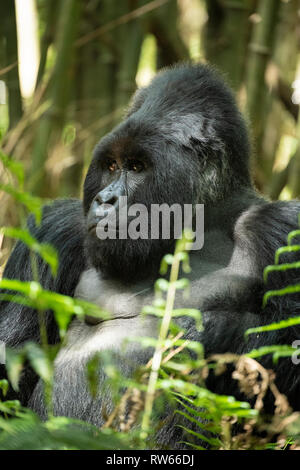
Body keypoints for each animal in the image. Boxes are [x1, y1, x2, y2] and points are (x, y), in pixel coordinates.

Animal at [0, 62, 300, 448]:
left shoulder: (280, 228)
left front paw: (211, 332)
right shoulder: (53, 231)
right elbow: (11, 356)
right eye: (112, 166)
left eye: (137, 167)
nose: (105, 199)